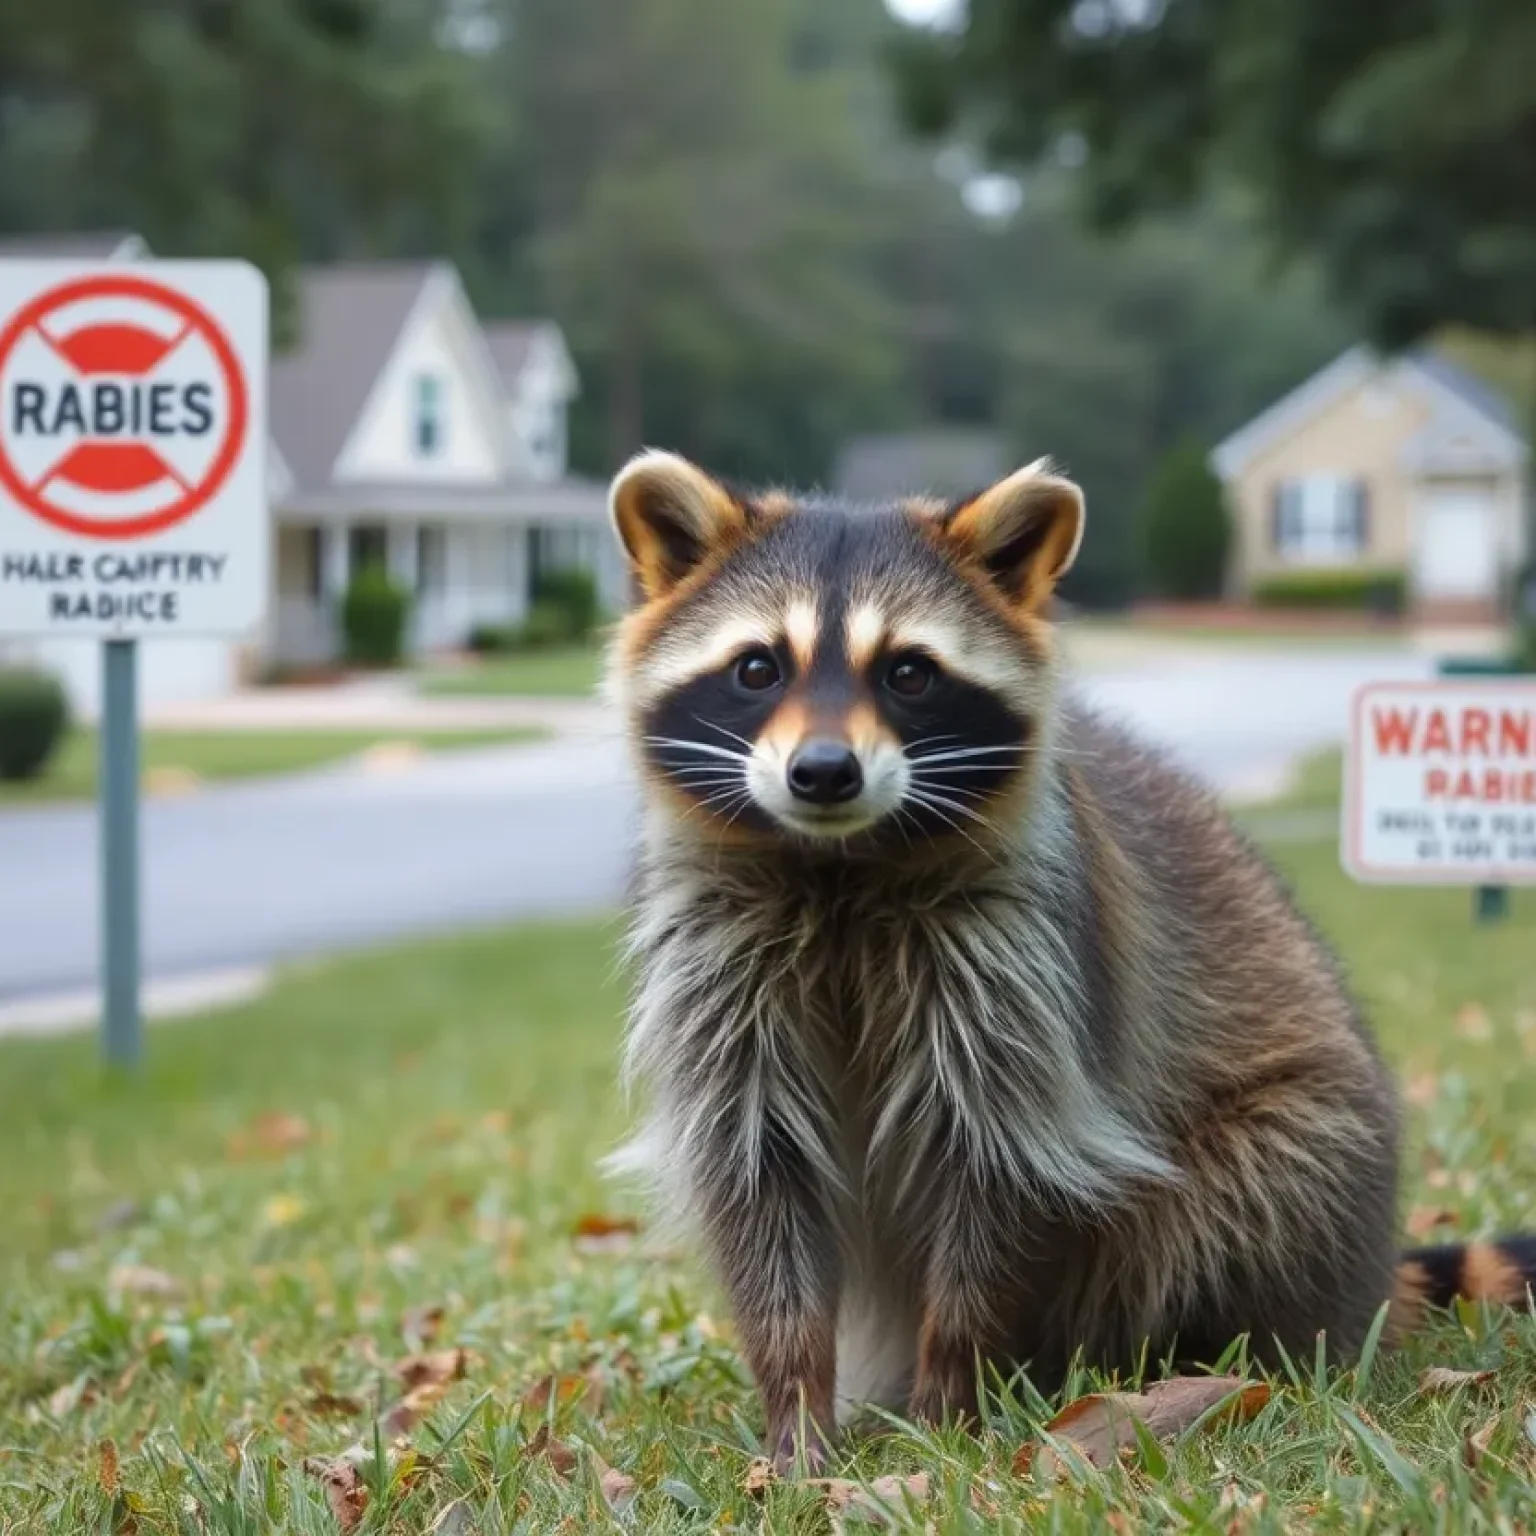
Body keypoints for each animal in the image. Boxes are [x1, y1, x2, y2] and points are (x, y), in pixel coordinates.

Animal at [599, 448, 1536, 1468]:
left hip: (1300, 1150)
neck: (838, 863)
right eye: (758, 668)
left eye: (909, 673)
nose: (823, 773)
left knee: (1240, 1202)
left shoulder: (1029, 967)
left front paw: (950, 1407)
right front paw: (798, 1415)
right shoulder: (723, 971)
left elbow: (998, 1168)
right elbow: (760, 1179)